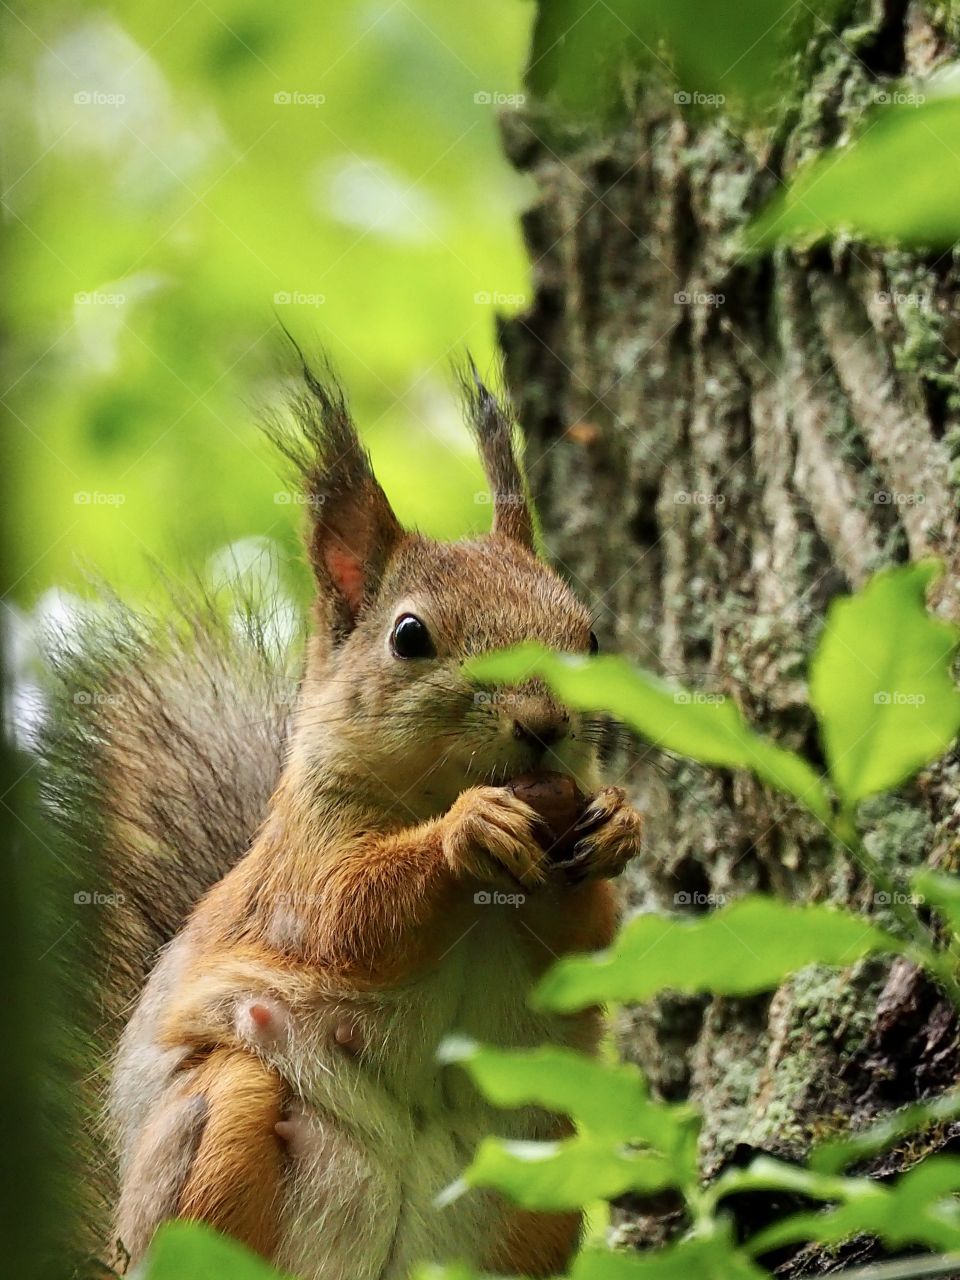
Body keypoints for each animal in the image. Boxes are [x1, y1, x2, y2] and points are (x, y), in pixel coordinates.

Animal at [43, 357, 644, 1280]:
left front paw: (616, 823)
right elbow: (347, 917)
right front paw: (466, 833)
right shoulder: (303, 856)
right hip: (216, 1128)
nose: (545, 724)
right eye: (409, 636)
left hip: (537, 1160)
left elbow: (578, 947)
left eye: (591, 638)